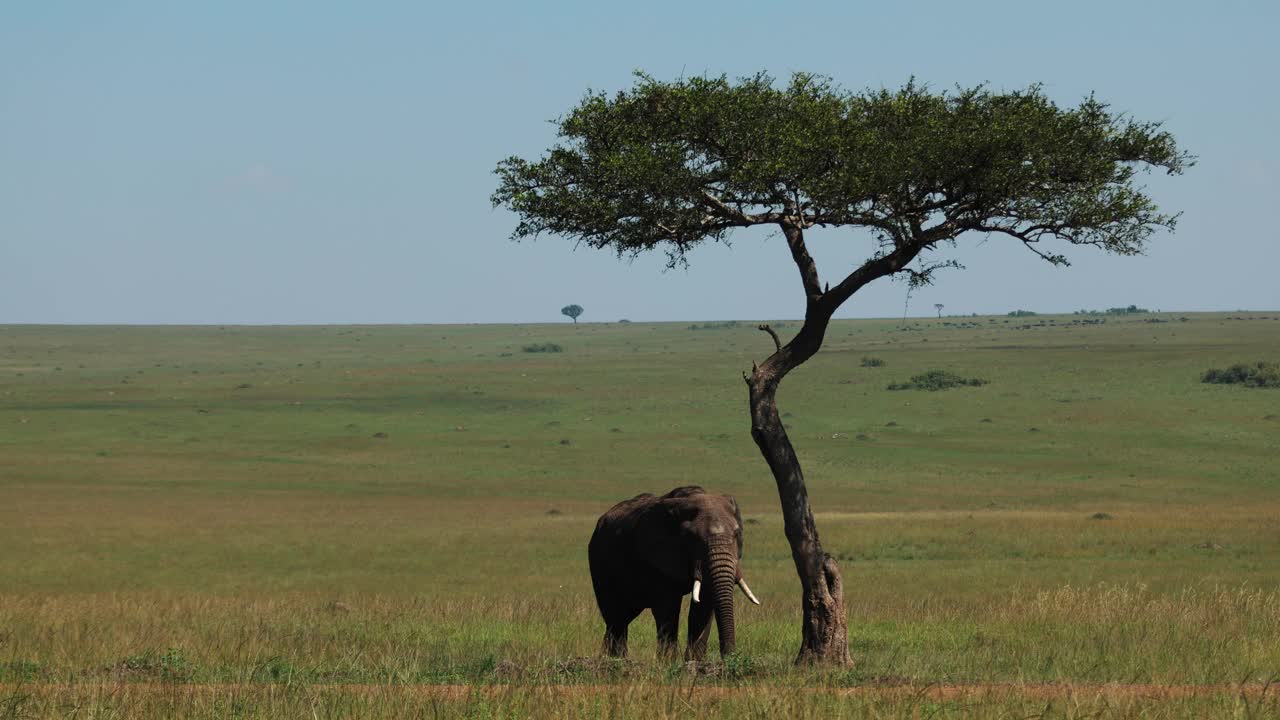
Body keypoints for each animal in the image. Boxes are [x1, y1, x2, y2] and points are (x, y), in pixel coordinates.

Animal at [588, 484, 757, 661]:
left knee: (622, 617)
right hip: (599, 561)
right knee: (615, 616)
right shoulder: (659, 555)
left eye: (737, 534)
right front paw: (668, 662)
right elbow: (668, 608)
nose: (730, 656)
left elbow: (703, 603)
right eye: (692, 537)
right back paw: (617, 659)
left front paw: (694, 661)